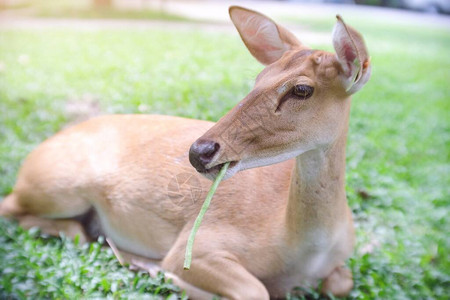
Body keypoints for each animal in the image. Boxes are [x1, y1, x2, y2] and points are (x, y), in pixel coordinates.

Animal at [0, 5, 370, 300]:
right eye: (258, 78)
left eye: (302, 89)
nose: (199, 151)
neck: (298, 250)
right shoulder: (200, 244)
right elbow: (254, 289)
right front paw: (161, 273)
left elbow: (342, 282)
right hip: (57, 187)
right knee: (21, 210)